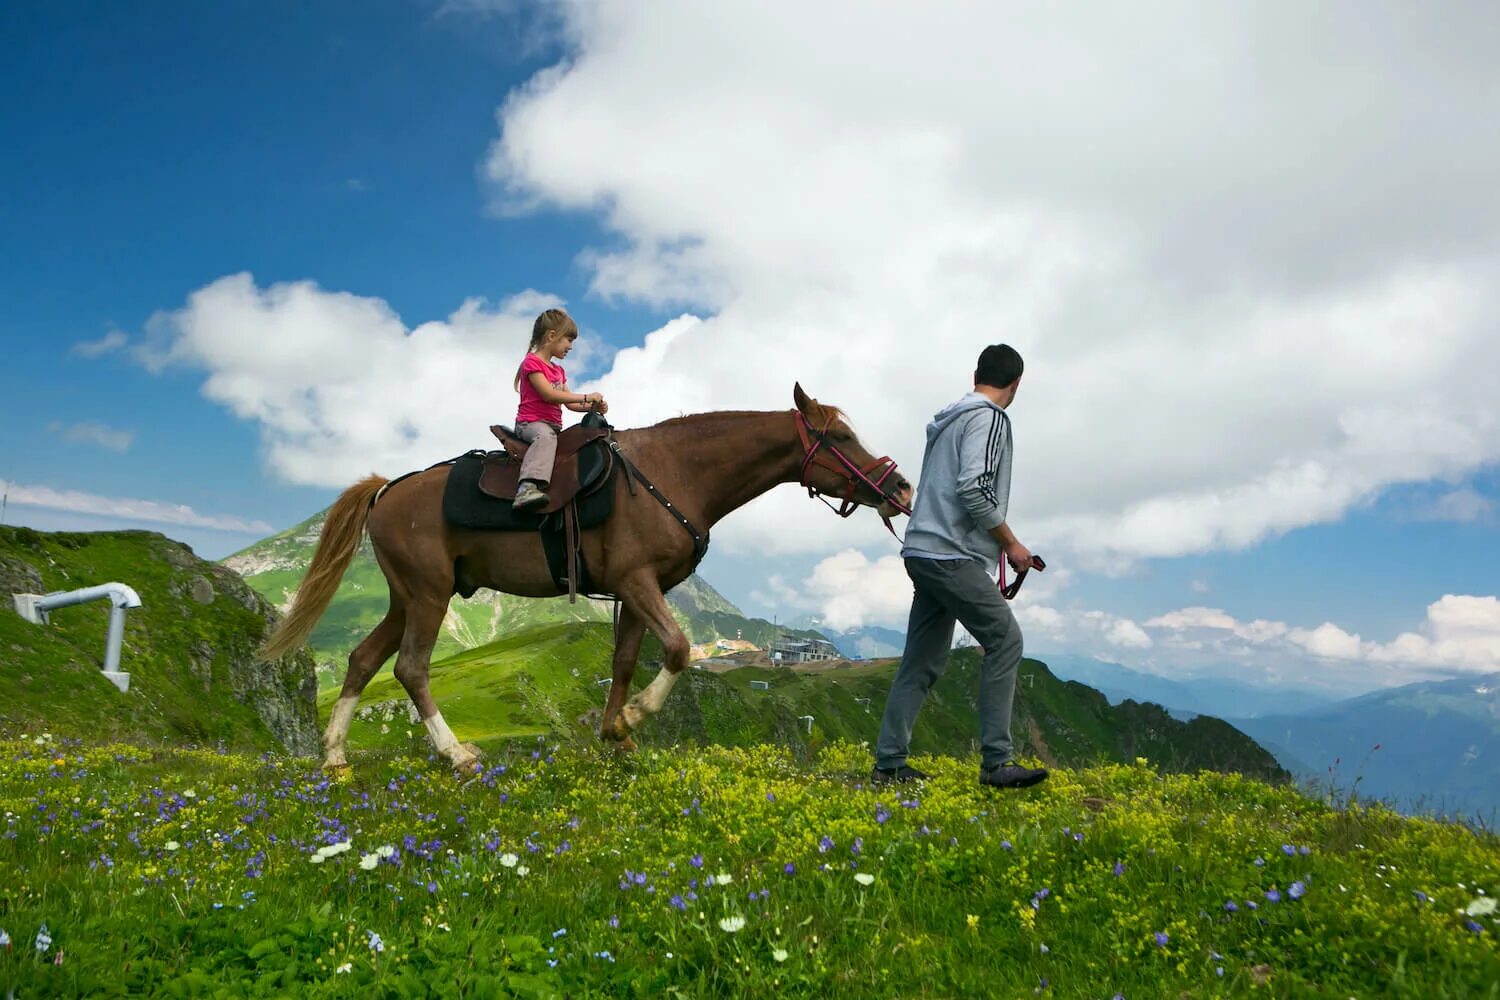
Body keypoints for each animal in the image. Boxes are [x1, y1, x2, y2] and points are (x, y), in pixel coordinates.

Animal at [262, 386, 906, 773]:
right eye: (841, 438)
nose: (898, 487)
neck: (675, 473)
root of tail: (387, 490)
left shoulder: (636, 591)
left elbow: (624, 662)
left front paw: (616, 731)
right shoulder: (638, 581)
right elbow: (678, 649)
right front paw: (633, 717)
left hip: (406, 598)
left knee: (362, 660)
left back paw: (335, 756)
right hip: (428, 595)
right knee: (410, 668)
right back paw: (455, 752)